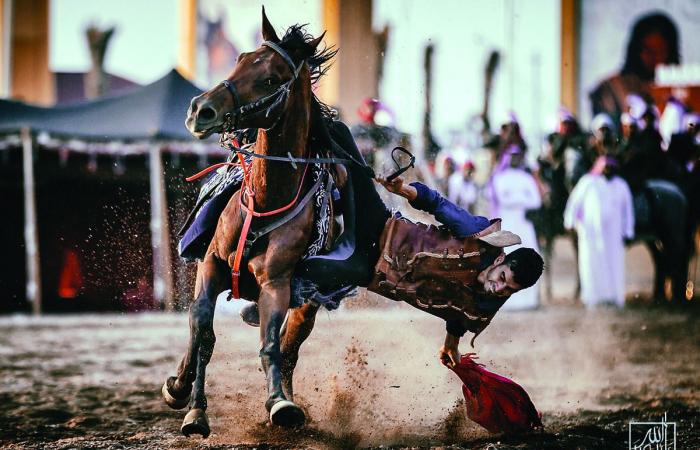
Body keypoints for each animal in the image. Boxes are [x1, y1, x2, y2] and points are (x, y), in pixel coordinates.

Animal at [162, 9, 344, 436]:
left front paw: (280, 403)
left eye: (271, 79)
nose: (200, 109)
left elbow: (272, 345)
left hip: (306, 304)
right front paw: (195, 409)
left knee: (290, 347)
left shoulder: (276, 285)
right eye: (240, 59)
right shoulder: (211, 266)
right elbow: (203, 332)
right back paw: (178, 386)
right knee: (195, 329)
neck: (266, 202)